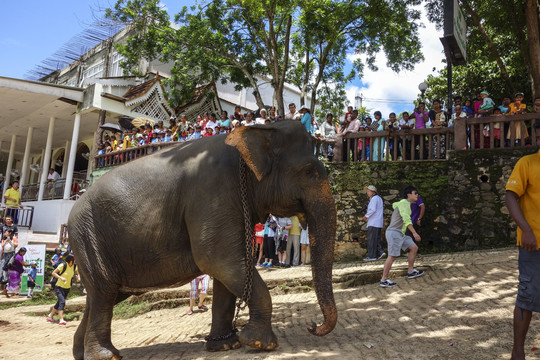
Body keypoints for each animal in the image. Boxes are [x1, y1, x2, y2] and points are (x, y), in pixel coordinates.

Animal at [68, 121, 338, 360]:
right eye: (309, 171)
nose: (313, 326)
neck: (256, 131)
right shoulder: (212, 192)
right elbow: (219, 260)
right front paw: (260, 343)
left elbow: (228, 270)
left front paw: (225, 345)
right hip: (88, 238)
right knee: (104, 294)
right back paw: (105, 356)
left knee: (101, 296)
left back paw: (82, 353)